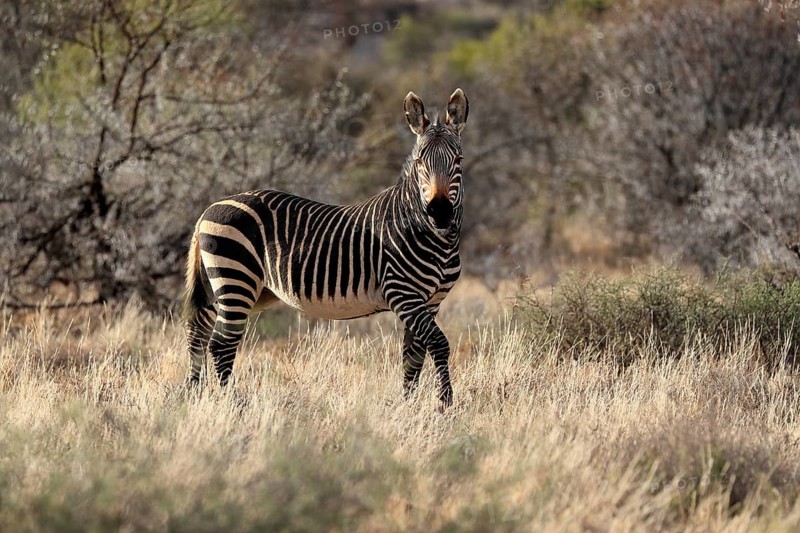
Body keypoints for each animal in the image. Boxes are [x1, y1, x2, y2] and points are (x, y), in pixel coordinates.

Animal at [184, 88, 469, 407]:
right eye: (420, 161)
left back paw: (193, 394)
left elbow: (413, 355)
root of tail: (208, 209)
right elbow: (438, 344)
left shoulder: (431, 302)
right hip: (236, 280)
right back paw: (233, 402)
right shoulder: (403, 294)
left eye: (458, 159)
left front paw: (408, 406)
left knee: (199, 331)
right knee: (221, 344)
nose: (440, 213)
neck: (434, 237)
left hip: (232, 287)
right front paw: (445, 404)